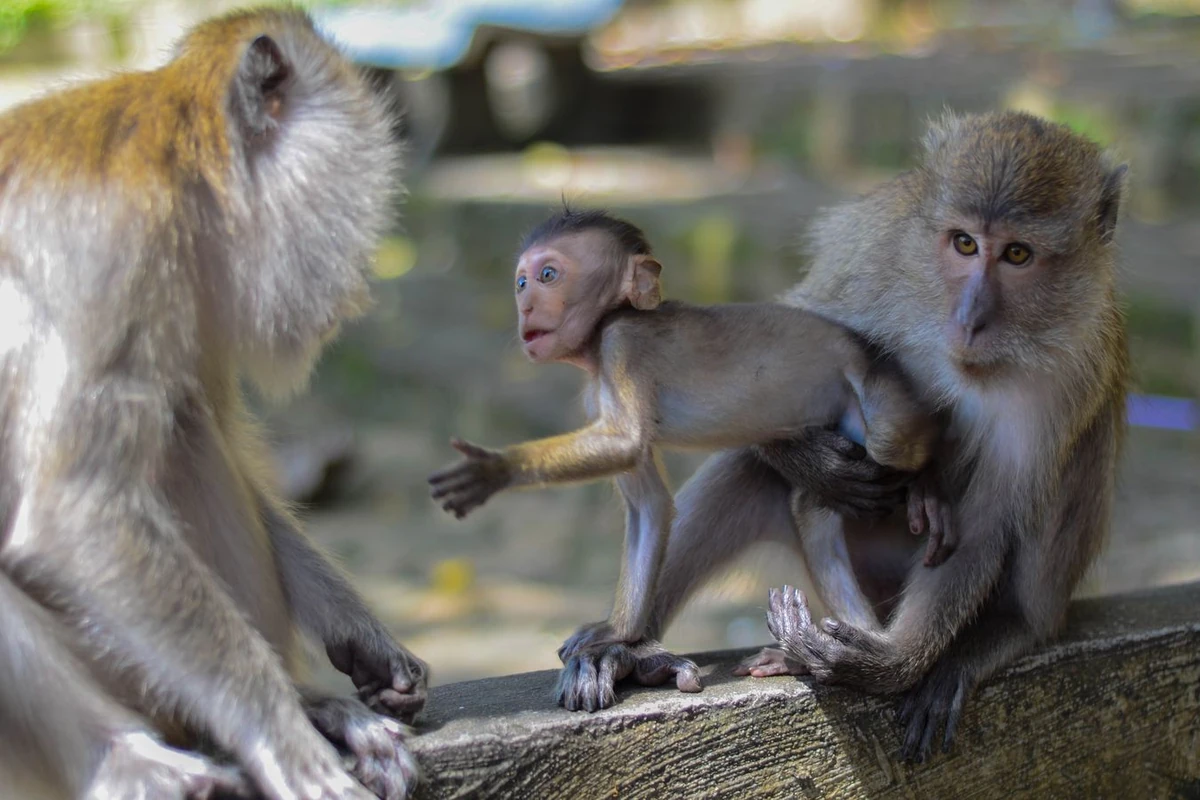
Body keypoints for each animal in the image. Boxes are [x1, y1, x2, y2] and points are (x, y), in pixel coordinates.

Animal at [0, 7, 429, 800]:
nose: (358, 289)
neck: (183, 167)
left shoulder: (198, 291)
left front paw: (354, 633)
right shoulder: (119, 249)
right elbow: (79, 511)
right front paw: (282, 740)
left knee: (186, 426)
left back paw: (311, 706)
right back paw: (121, 758)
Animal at [427, 208, 950, 714]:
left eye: (549, 275)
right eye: (521, 282)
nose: (526, 305)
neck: (600, 337)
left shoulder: (622, 344)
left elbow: (624, 443)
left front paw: (493, 469)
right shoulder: (596, 393)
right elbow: (649, 506)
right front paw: (618, 636)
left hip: (883, 404)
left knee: (897, 445)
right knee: (813, 506)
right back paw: (838, 648)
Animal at [633, 107, 1128, 762]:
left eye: (1018, 254)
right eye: (965, 243)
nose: (970, 318)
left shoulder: (1067, 377)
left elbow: (989, 516)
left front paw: (892, 664)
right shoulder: (874, 264)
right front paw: (816, 463)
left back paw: (1005, 628)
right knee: (751, 468)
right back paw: (626, 651)